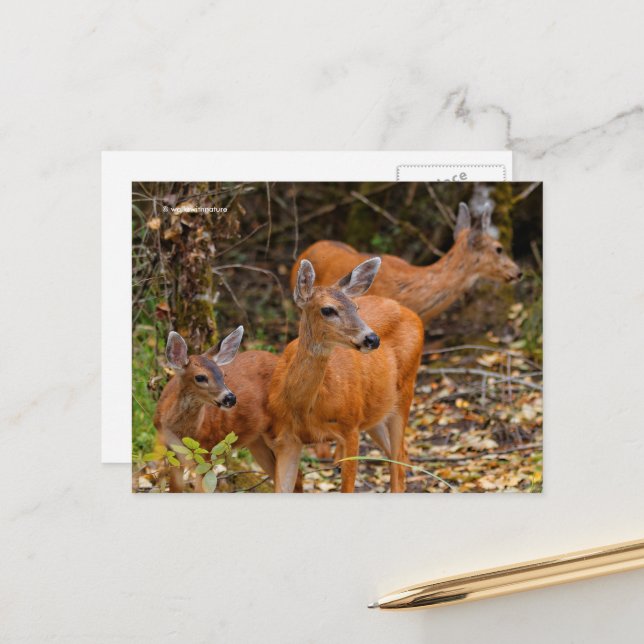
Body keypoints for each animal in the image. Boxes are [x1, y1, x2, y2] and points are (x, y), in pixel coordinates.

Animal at [153, 326, 301, 492]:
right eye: (200, 377)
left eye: (223, 374)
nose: (230, 398)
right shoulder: (171, 451)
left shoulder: (208, 449)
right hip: (256, 440)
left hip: (282, 427)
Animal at [267, 257, 424, 493]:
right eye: (328, 310)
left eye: (356, 307)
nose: (372, 339)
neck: (303, 408)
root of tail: (411, 313)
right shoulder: (286, 439)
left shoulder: (351, 427)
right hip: (376, 410)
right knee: (400, 457)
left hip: (405, 392)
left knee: (398, 461)